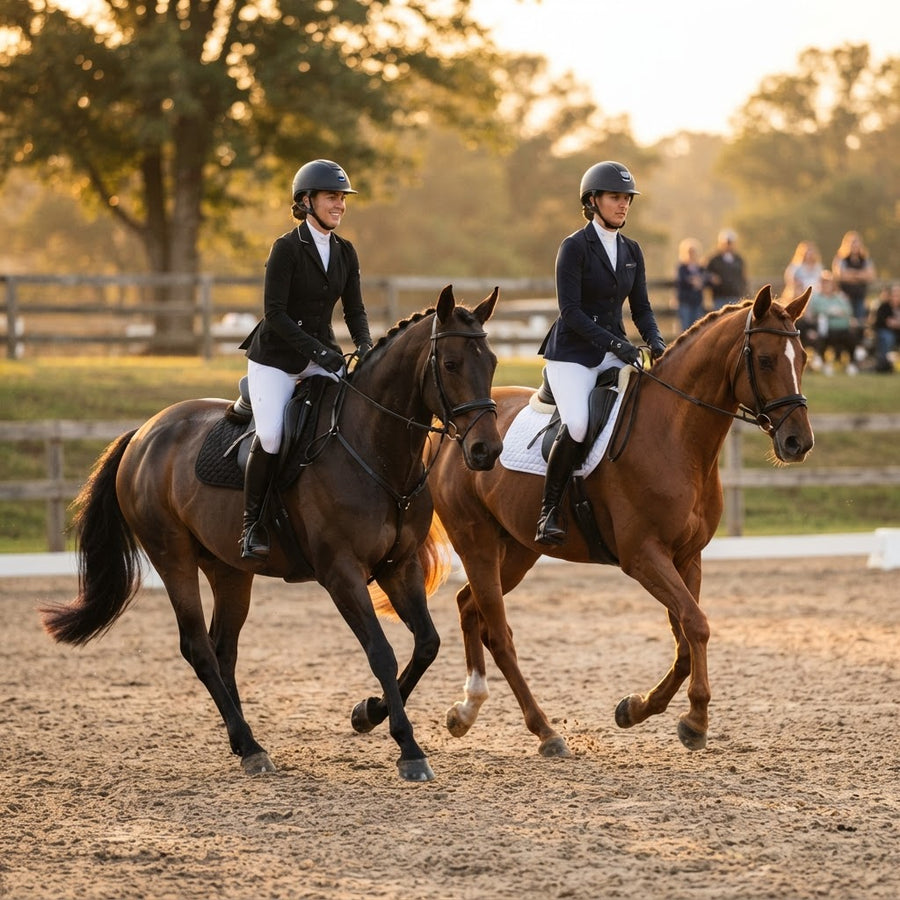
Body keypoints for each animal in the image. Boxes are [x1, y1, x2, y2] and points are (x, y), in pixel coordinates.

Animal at [42, 285, 503, 782]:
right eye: (451, 364)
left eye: (492, 362)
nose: (486, 450)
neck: (376, 450)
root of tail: (145, 432)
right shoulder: (341, 572)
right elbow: (381, 651)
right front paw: (409, 748)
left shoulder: (400, 565)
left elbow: (426, 645)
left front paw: (366, 713)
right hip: (172, 558)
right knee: (199, 648)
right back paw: (250, 745)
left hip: (229, 570)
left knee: (223, 650)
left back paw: (244, 744)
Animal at [427, 285, 814, 758]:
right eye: (765, 360)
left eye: (803, 358)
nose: (798, 442)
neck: (676, 435)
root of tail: (454, 431)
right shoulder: (643, 556)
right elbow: (696, 624)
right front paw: (695, 720)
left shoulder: (687, 557)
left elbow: (687, 639)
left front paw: (636, 708)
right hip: (476, 540)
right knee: (498, 632)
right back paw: (545, 732)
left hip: (518, 548)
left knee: (469, 606)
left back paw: (465, 711)